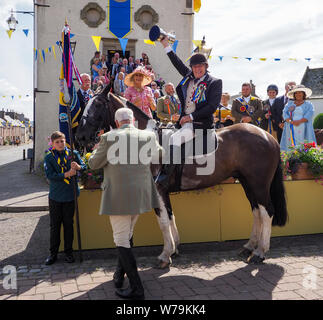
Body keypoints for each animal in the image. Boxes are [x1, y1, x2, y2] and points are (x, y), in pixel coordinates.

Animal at [76, 85, 288, 268]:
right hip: (247, 182)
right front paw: (174, 249)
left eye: (98, 104)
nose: (81, 136)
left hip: (258, 184)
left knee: (267, 212)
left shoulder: (158, 190)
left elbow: (163, 221)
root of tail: (268, 136)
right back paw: (249, 247)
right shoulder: (163, 193)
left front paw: (165, 255)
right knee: (256, 211)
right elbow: (170, 217)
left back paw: (260, 252)